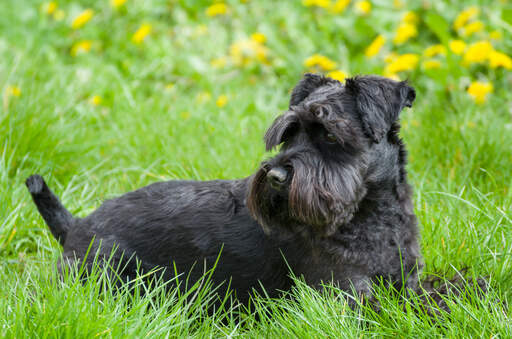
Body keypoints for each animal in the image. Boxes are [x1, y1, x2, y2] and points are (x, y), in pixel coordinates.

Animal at [25, 74, 420, 308]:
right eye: (288, 134)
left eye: (330, 134)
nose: (276, 176)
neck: (369, 215)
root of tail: (75, 227)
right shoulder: (343, 294)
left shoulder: (407, 281)